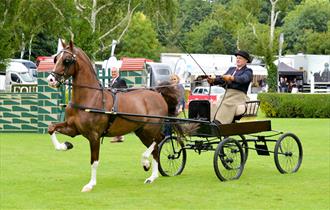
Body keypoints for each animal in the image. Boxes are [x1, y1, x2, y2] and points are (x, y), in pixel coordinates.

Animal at [46, 40, 178, 192]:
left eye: (67, 60)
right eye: (55, 58)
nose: (51, 79)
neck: (90, 97)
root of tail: (158, 94)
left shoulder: (94, 136)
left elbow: (94, 161)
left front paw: (90, 184)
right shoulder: (73, 129)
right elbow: (51, 128)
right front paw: (66, 145)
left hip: (151, 128)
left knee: (159, 140)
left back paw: (146, 163)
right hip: (141, 131)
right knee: (155, 148)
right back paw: (152, 176)